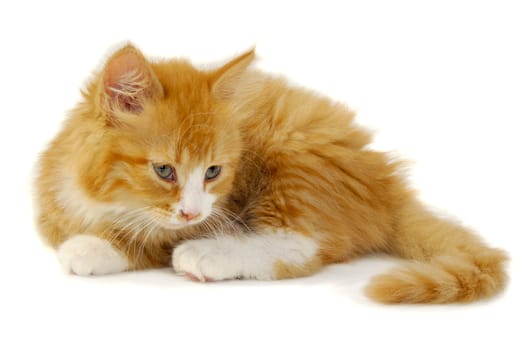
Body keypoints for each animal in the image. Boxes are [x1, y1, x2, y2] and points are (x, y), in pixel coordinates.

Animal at [35, 44, 510, 304]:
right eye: (164, 170)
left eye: (213, 171)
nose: (192, 213)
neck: (101, 198)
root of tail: (390, 186)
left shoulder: (211, 211)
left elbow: (151, 237)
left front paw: (95, 246)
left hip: (295, 153)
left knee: (304, 247)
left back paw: (210, 256)